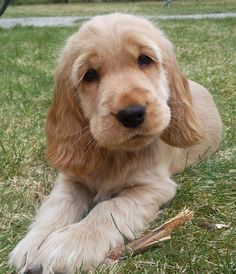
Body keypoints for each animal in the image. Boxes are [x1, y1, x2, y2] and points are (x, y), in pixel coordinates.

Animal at [9, 13, 223, 272]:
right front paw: (34, 244)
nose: (132, 114)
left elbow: (110, 207)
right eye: (89, 74)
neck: (115, 154)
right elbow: (56, 205)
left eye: (144, 60)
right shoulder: (71, 179)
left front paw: (71, 244)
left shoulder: (153, 187)